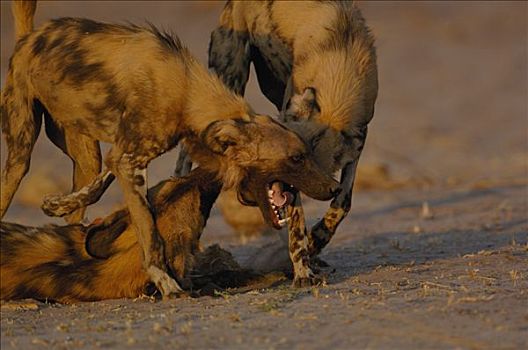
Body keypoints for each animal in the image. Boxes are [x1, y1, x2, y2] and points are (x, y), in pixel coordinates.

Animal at [175, 0, 378, 286]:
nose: (248, 196)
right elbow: (296, 224)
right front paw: (303, 269)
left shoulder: (356, 144)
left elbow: (341, 204)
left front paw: (316, 241)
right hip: (230, 78)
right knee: (185, 152)